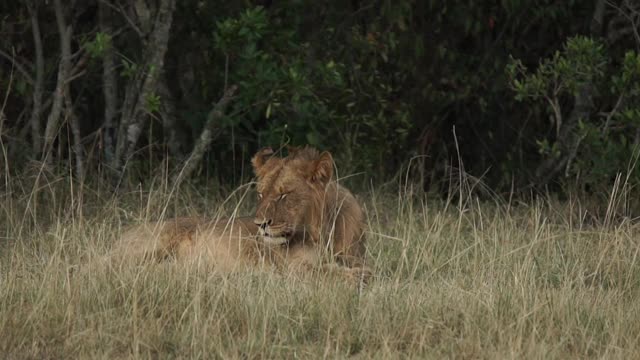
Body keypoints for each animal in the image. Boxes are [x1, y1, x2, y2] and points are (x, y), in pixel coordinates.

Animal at [110, 146, 370, 284]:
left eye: (283, 195)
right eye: (261, 193)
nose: (260, 224)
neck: (322, 232)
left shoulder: (354, 256)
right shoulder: (291, 269)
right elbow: (327, 272)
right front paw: (359, 277)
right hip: (154, 243)